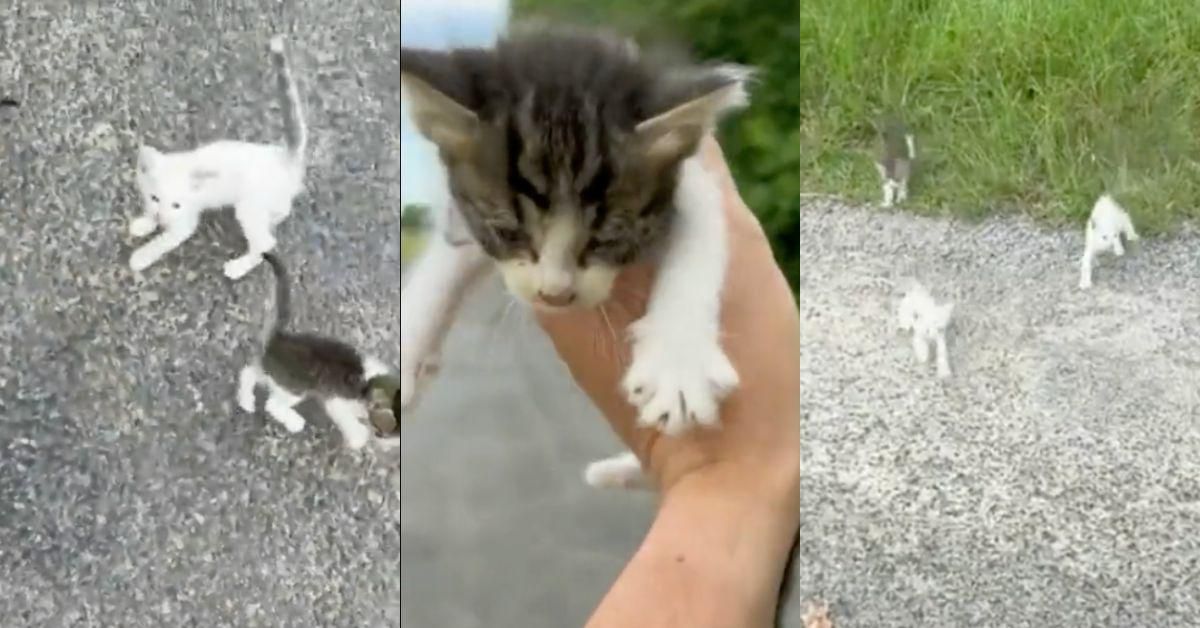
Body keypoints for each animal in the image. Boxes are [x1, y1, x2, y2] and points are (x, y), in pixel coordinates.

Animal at [128, 34, 307, 279]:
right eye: (155, 197)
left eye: (176, 205)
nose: (162, 218)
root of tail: (286, 156)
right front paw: (144, 223)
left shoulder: (186, 220)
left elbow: (163, 242)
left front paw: (141, 257)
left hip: (249, 207)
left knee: (265, 243)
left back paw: (238, 267)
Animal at [237, 253, 403, 449]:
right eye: (382, 430)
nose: (382, 440)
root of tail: (280, 337)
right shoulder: (337, 399)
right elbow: (350, 422)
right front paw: (357, 438)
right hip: (298, 383)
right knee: (272, 404)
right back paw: (294, 421)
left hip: (274, 372)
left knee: (250, 371)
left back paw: (246, 400)